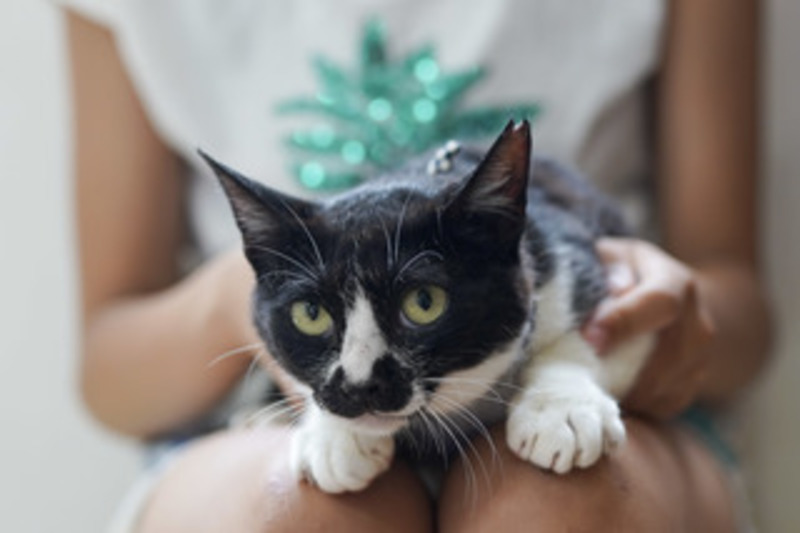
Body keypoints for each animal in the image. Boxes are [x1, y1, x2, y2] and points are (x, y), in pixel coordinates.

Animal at [200, 121, 652, 494]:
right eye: (311, 314)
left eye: (424, 303)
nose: (359, 385)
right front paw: (334, 438)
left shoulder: (576, 247)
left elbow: (582, 333)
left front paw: (561, 411)